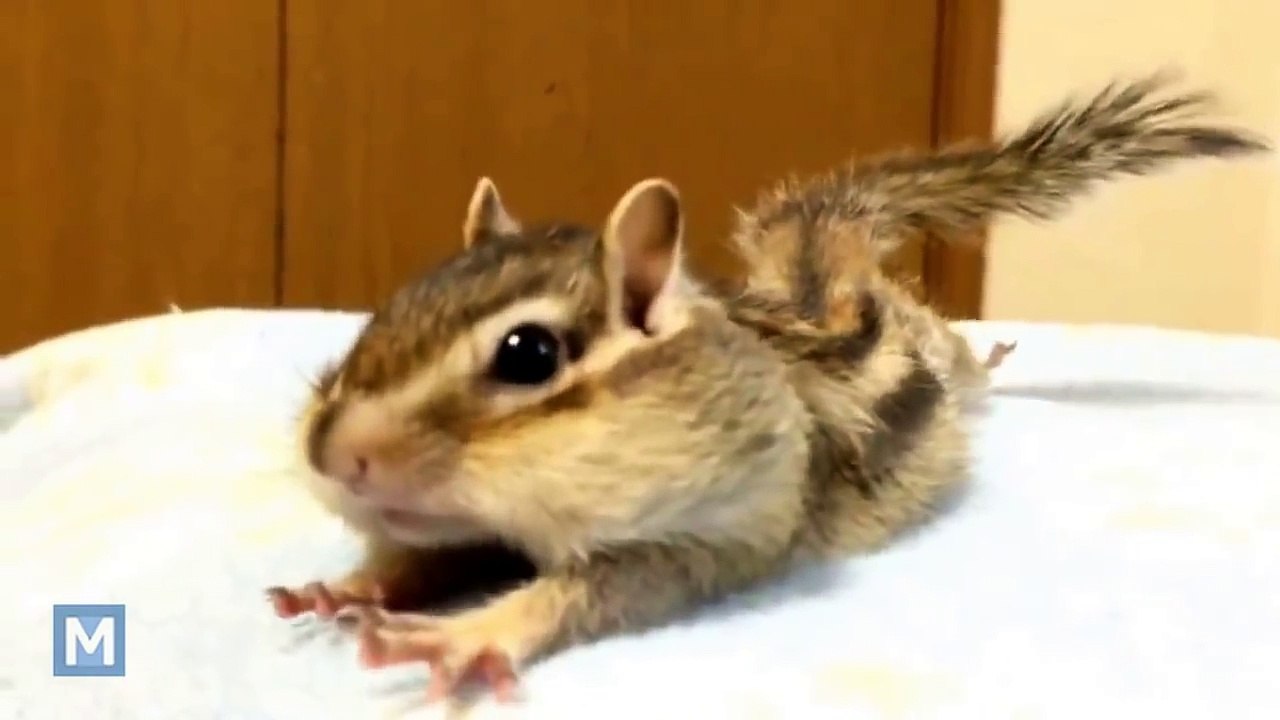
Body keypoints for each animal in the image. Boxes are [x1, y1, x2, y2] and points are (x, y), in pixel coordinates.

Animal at [266, 73, 1268, 702]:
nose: (331, 455)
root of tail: (821, 282)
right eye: (389, 306)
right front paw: (348, 586)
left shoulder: (719, 531)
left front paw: (466, 633)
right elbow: (422, 559)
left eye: (528, 354)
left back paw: (994, 359)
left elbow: (590, 593)